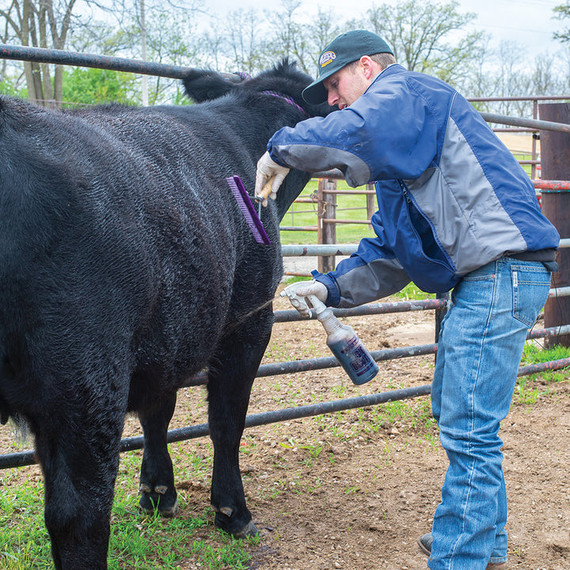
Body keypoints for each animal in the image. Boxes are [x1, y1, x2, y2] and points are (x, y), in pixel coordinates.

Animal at [0, 60, 328, 564]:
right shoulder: (250, 319)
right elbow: (226, 420)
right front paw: (232, 510)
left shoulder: (167, 336)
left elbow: (160, 411)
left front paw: (157, 491)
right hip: (83, 379)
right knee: (78, 514)